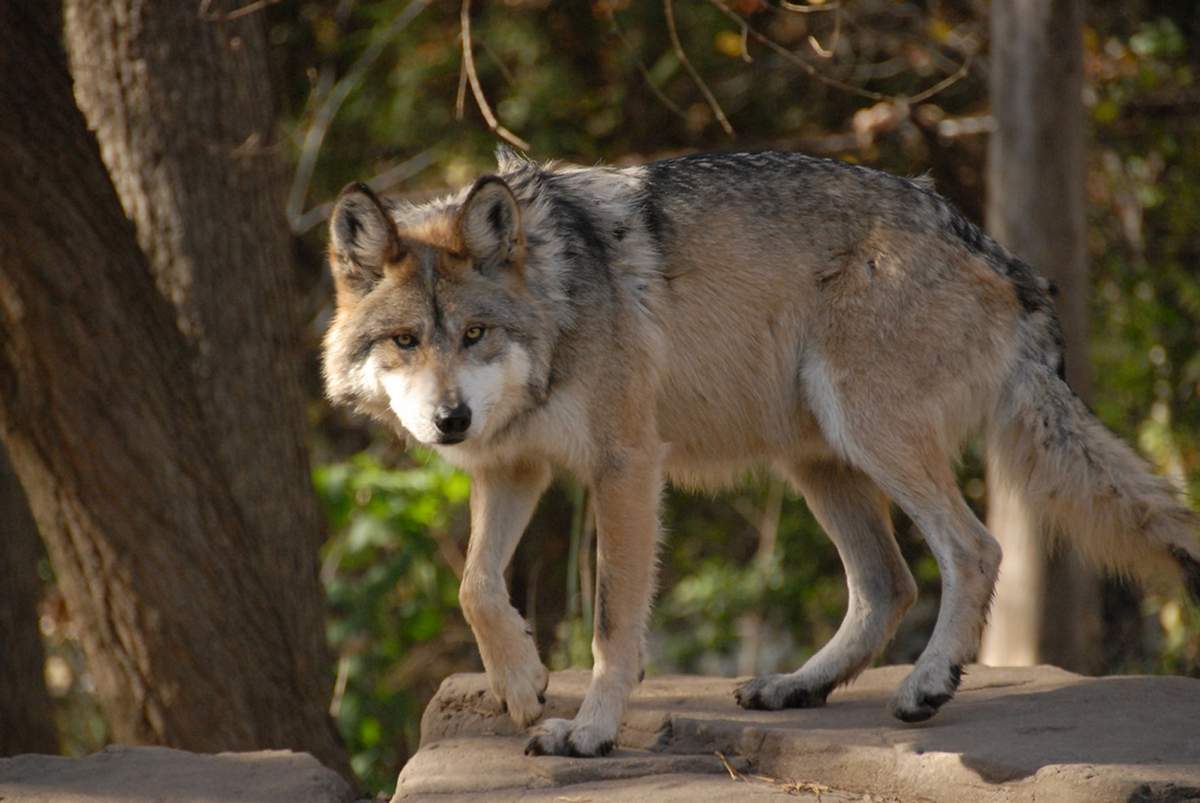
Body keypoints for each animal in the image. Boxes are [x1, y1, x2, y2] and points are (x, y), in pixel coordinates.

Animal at [319, 150, 1200, 758]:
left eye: (474, 333)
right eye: (406, 341)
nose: (450, 418)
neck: (559, 302)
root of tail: (1000, 254)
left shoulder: (626, 466)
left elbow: (612, 624)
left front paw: (591, 730)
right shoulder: (512, 466)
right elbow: (474, 585)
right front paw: (521, 683)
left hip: (868, 432)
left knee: (975, 549)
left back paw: (926, 683)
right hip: (817, 458)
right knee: (889, 583)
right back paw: (797, 684)